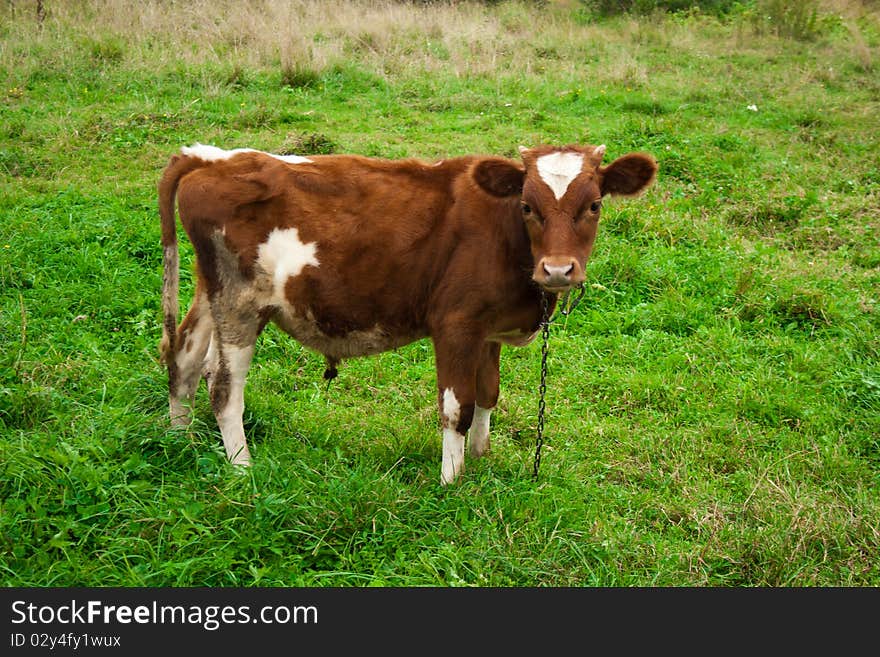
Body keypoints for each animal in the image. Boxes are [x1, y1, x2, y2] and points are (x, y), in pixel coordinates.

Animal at [160, 142, 652, 482]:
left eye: (594, 205)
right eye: (527, 206)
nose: (557, 269)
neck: (505, 234)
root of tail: (212, 158)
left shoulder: (488, 330)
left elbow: (489, 393)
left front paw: (481, 459)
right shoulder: (455, 324)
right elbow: (458, 407)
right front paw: (452, 483)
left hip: (211, 291)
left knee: (184, 359)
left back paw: (179, 441)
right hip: (241, 302)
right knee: (223, 387)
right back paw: (242, 468)